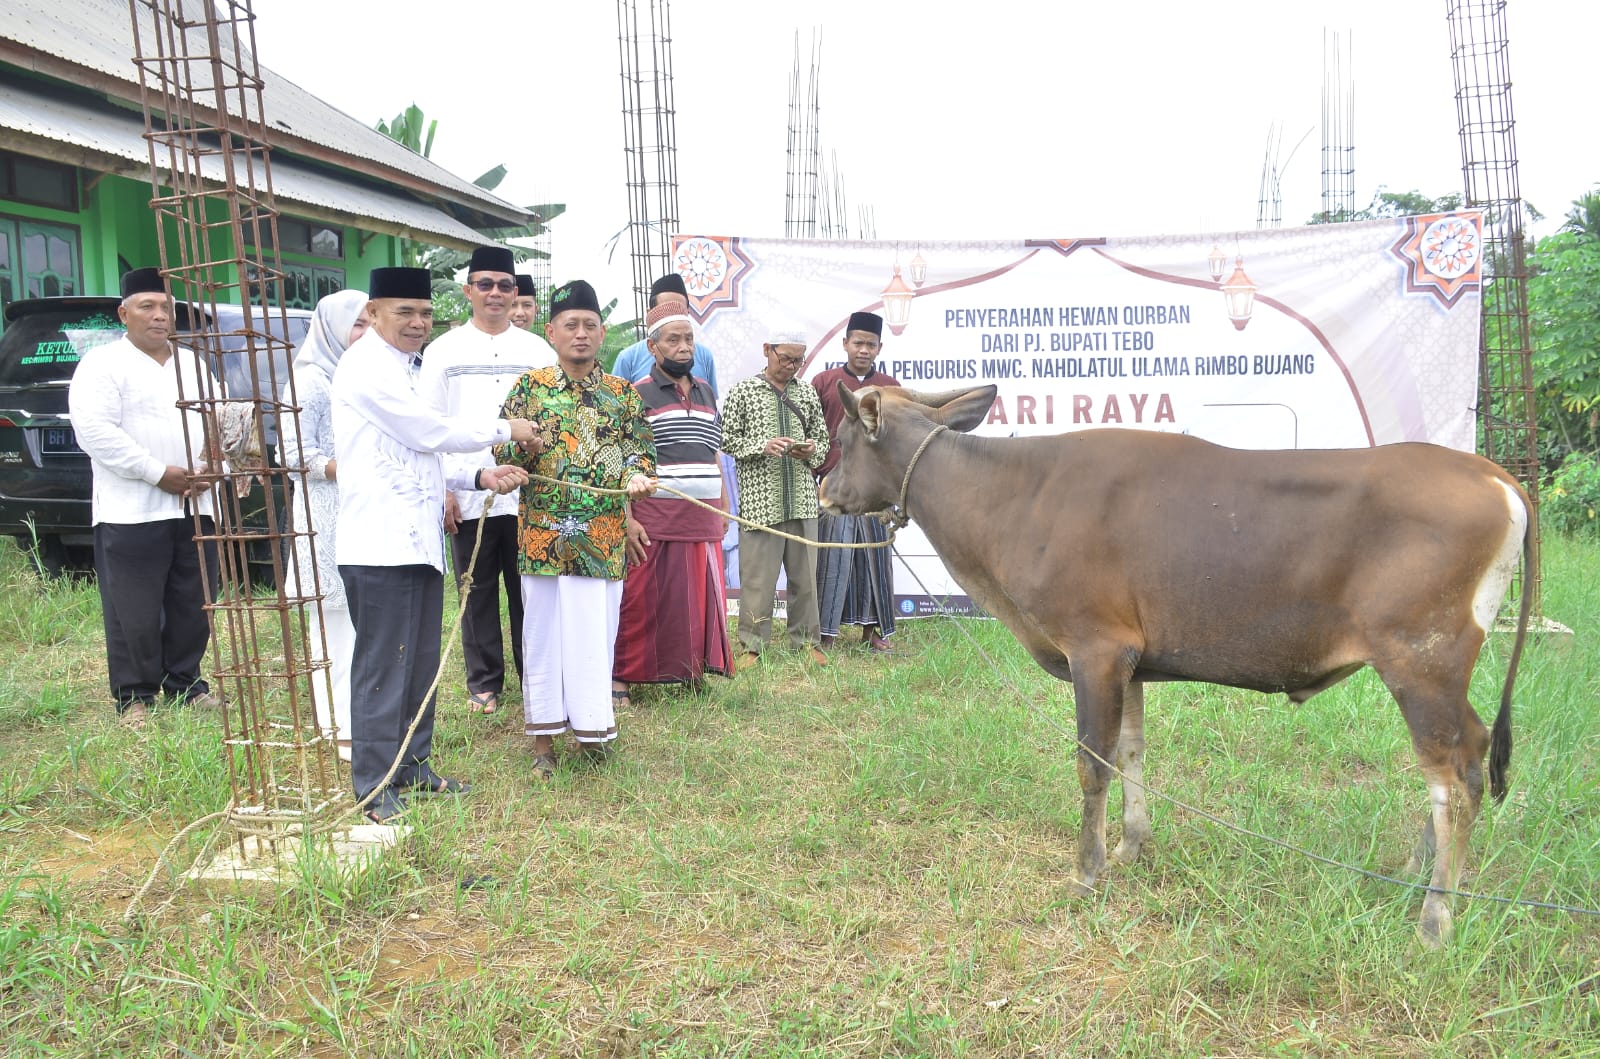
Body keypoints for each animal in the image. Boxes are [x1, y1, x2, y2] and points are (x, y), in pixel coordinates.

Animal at [819, 382, 1529, 947]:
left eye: (846, 434)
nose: (823, 491)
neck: (1015, 496)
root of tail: (1493, 475)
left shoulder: (1095, 648)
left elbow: (1093, 762)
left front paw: (1087, 870)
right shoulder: (1129, 662)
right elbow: (1131, 751)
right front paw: (1132, 844)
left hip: (1421, 661)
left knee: (1455, 775)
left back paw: (1435, 915)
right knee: (1466, 754)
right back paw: (1417, 869)